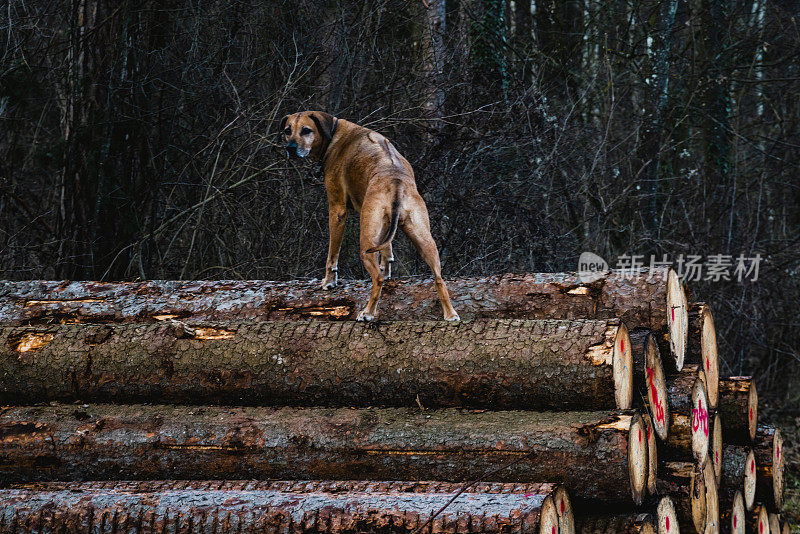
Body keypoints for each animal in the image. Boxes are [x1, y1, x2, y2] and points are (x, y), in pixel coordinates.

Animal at [282, 111, 460, 322]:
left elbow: (332, 254)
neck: (334, 133)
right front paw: (387, 265)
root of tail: (396, 182)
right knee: (439, 278)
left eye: (306, 130)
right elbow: (387, 250)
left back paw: (367, 312)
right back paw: (450, 314)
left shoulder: (337, 209)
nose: (290, 148)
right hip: (423, 237)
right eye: (288, 130)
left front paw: (328, 282)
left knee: (377, 279)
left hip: (366, 242)